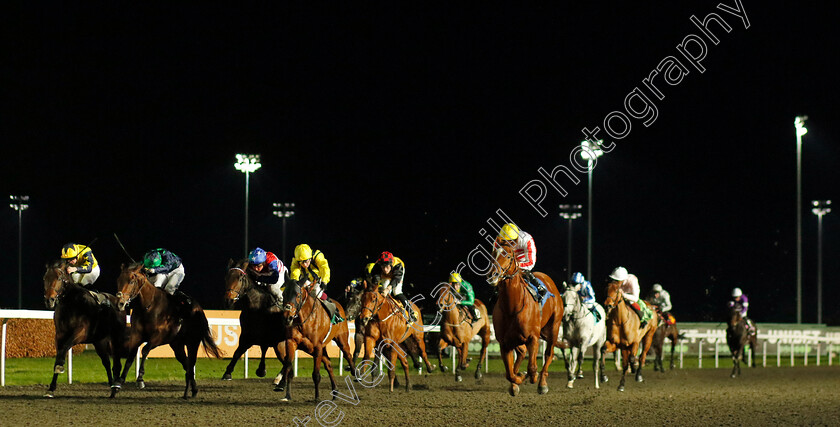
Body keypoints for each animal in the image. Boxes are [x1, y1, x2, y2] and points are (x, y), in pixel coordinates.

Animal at [41, 262, 125, 400]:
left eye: (59, 278)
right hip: (99, 341)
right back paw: (111, 385)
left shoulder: (81, 332)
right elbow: (59, 352)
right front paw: (51, 389)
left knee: (116, 363)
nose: (49, 300)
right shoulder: (59, 335)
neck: (71, 303)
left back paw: (115, 388)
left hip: (114, 340)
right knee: (106, 362)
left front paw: (60, 366)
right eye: (45, 278)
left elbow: (65, 347)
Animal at [116, 264, 226, 402]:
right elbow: (130, 357)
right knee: (187, 365)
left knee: (191, 365)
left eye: (131, 281)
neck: (148, 306)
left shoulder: (159, 337)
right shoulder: (136, 336)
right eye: (118, 280)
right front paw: (118, 384)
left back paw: (188, 392)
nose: (120, 303)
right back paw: (191, 391)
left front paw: (140, 379)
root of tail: (199, 309)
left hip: (192, 343)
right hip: (177, 345)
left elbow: (145, 350)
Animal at [488, 244, 560, 398]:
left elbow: (532, 367)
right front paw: (518, 378)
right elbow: (510, 374)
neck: (512, 307)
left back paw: (542, 383)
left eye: (508, 256)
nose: (492, 275)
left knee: (548, 354)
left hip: (554, 328)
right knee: (521, 352)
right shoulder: (504, 343)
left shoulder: (533, 337)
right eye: (492, 254)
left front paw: (531, 376)